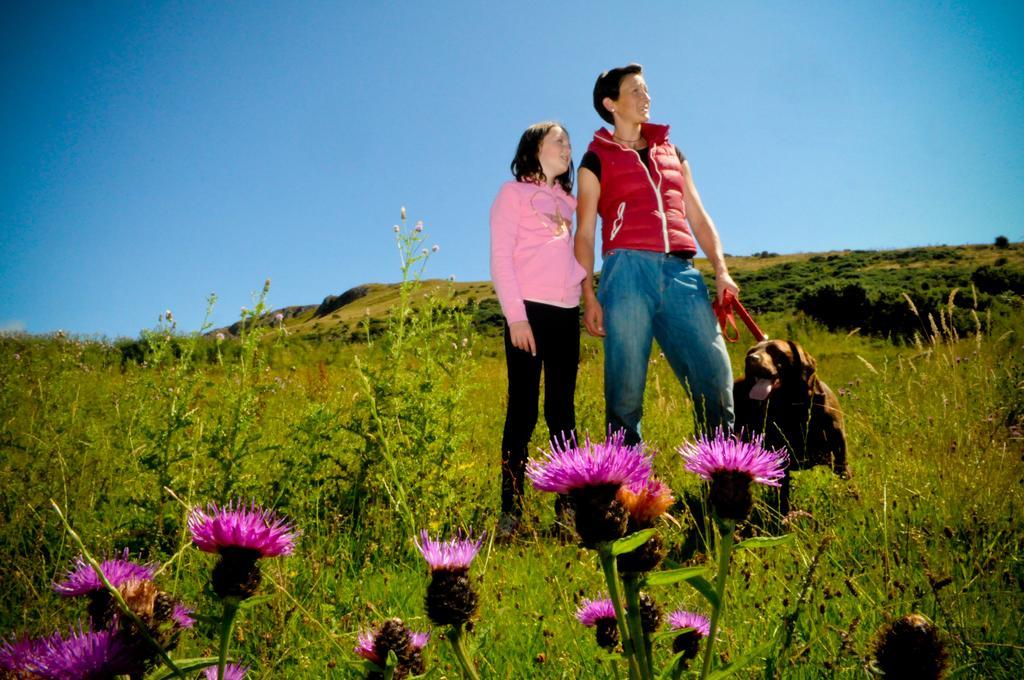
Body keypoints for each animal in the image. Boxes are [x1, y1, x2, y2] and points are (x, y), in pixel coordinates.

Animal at [737, 340, 847, 516]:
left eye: (775, 351)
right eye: (751, 351)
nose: (750, 359)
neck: (794, 406)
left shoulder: (839, 452)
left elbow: (845, 479)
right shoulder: (780, 459)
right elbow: (782, 495)